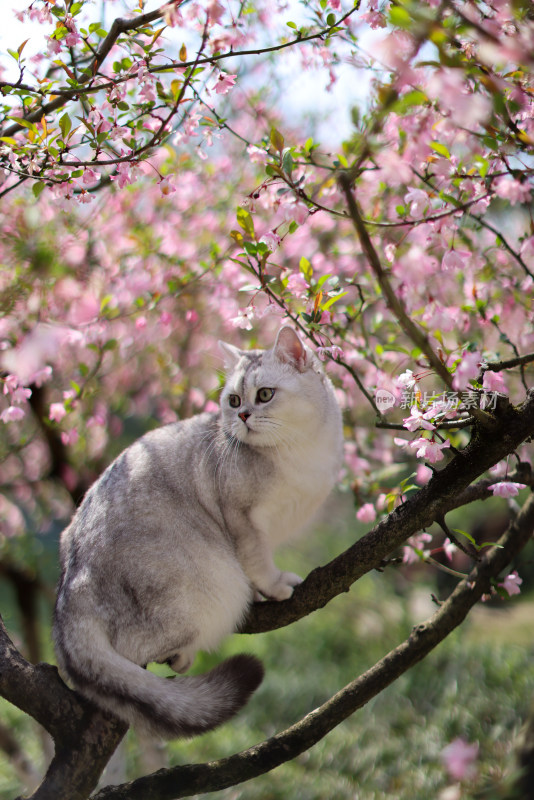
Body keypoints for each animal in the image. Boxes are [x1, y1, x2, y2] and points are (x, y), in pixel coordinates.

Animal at [53, 324, 344, 736]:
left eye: (264, 395)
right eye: (234, 400)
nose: (242, 415)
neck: (300, 450)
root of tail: (68, 592)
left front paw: (264, 590)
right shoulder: (243, 519)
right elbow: (258, 561)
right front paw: (274, 586)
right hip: (207, 588)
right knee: (130, 650)